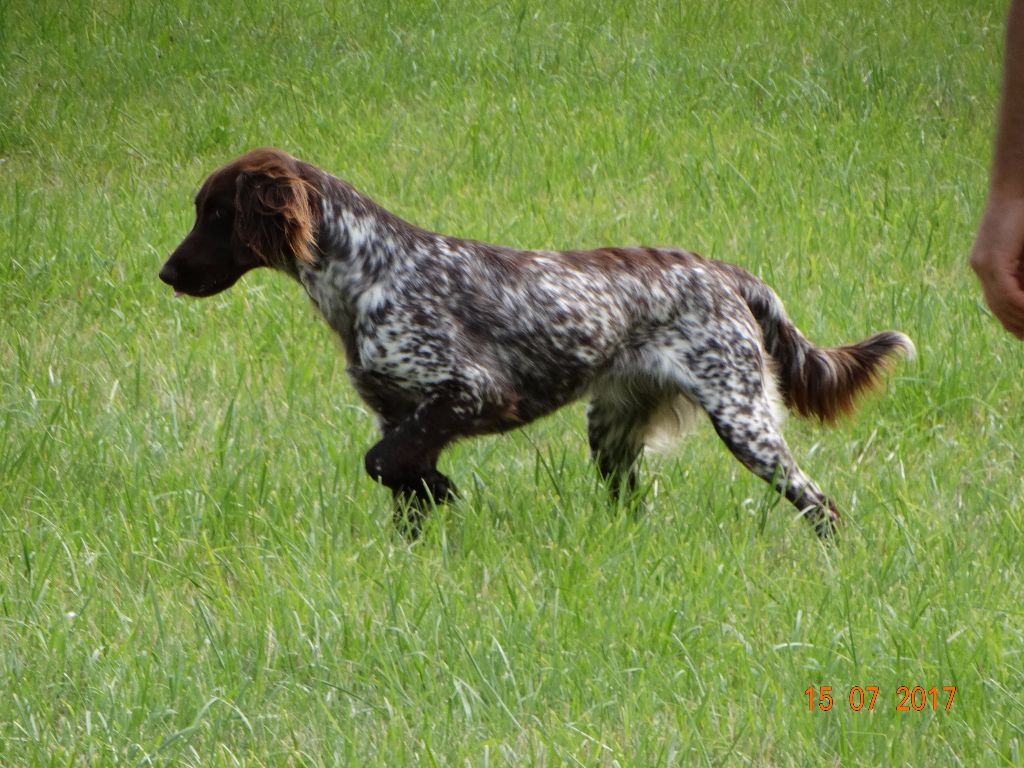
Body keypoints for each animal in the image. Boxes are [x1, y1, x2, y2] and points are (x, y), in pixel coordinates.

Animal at [159, 147, 913, 538]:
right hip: (612, 431)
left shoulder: (470, 390)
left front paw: (444, 489)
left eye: (215, 212)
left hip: (743, 417)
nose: (166, 274)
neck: (368, 272)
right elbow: (400, 475)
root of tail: (724, 270)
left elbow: (384, 463)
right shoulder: (398, 411)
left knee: (819, 502)